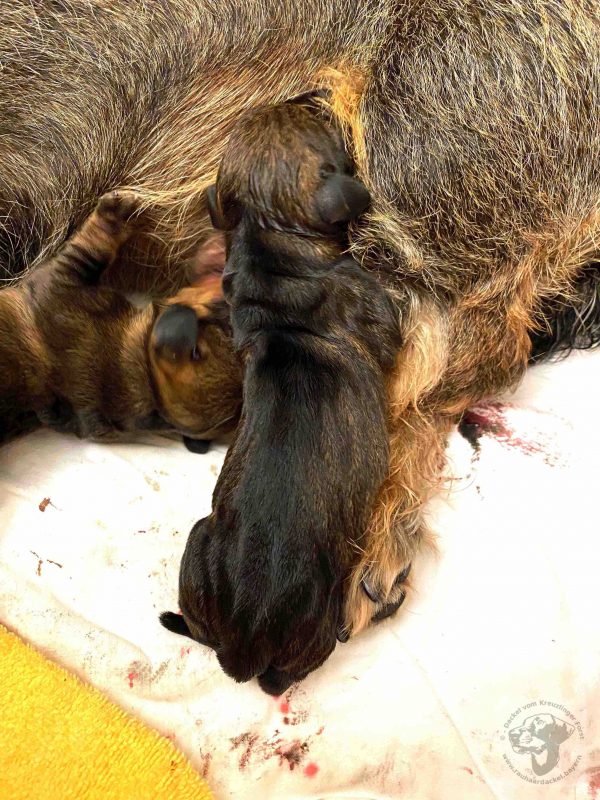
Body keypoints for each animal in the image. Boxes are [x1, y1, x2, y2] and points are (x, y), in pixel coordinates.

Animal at [160, 99, 402, 693]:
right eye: (322, 127)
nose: (315, 94)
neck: (269, 237)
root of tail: (243, 642)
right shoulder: (380, 317)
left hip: (199, 540)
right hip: (318, 624)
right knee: (284, 676)